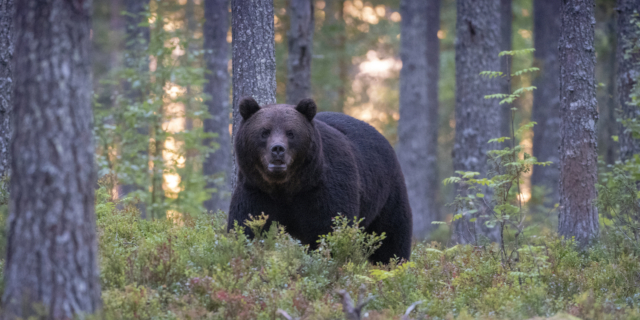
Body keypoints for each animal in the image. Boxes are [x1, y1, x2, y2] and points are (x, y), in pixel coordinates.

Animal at [228, 97, 412, 262]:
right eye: (264, 132)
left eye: (291, 133)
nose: (278, 149)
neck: (287, 187)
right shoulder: (257, 190)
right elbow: (247, 225)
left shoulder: (323, 189)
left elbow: (328, 229)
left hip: (386, 192)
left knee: (391, 235)